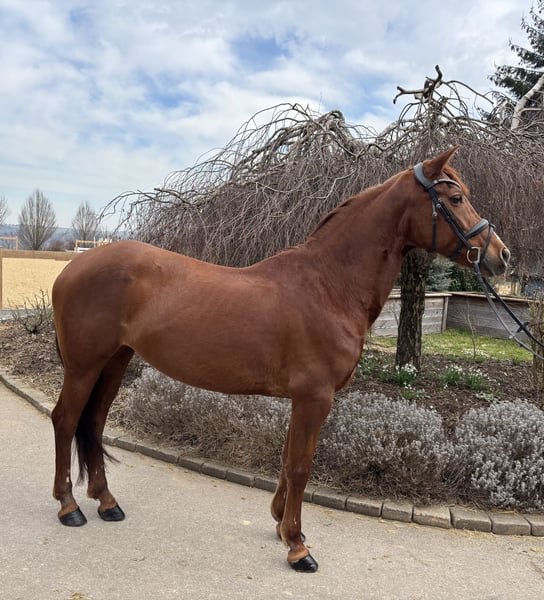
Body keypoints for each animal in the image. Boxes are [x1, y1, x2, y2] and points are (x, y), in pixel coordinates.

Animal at [51, 147, 510, 572]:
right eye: (455, 199)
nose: (500, 255)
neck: (329, 285)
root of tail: (73, 266)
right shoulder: (314, 397)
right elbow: (301, 466)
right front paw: (297, 546)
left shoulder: (302, 399)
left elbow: (288, 459)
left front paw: (281, 524)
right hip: (83, 366)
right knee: (66, 419)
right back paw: (69, 507)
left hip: (114, 362)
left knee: (94, 422)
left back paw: (107, 502)